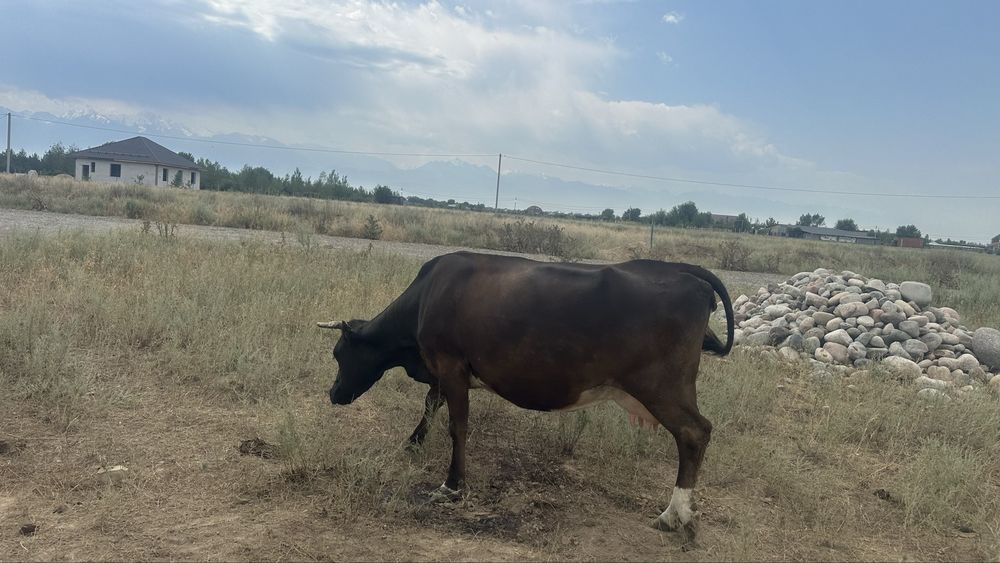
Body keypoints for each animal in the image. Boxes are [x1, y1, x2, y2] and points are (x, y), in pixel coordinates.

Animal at [318, 251, 733, 533]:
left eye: (339, 354)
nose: (333, 393)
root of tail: (681, 271)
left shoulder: (450, 365)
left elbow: (457, 425)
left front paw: (452, 486)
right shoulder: (440, 370)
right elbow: (430, 404)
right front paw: (414, 442)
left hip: (662, 386)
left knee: (695, 432)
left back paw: (674, 514)